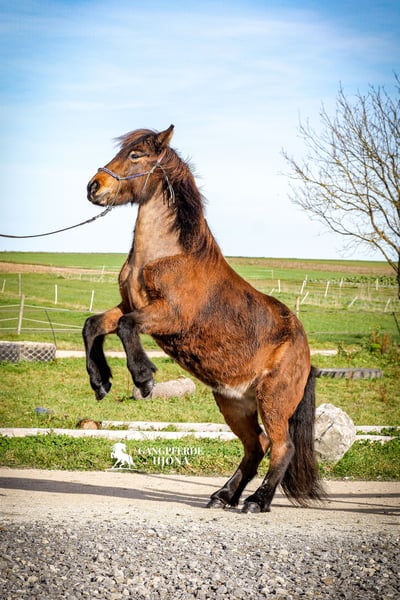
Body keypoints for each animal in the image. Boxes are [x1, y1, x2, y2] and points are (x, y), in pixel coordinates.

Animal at [83, 125, 325, 514]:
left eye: (135, 155)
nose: (94, 186)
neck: (170, 256)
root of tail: (306, 356)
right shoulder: (127, 304)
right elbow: (94, 325)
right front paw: (100, 381)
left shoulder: (169, 316)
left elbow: (125, 327)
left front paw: (144, 378)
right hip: (234, 403)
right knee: (256, 446)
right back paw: (223, 496)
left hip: (273, 402)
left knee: (281, 447)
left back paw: (256, 501)